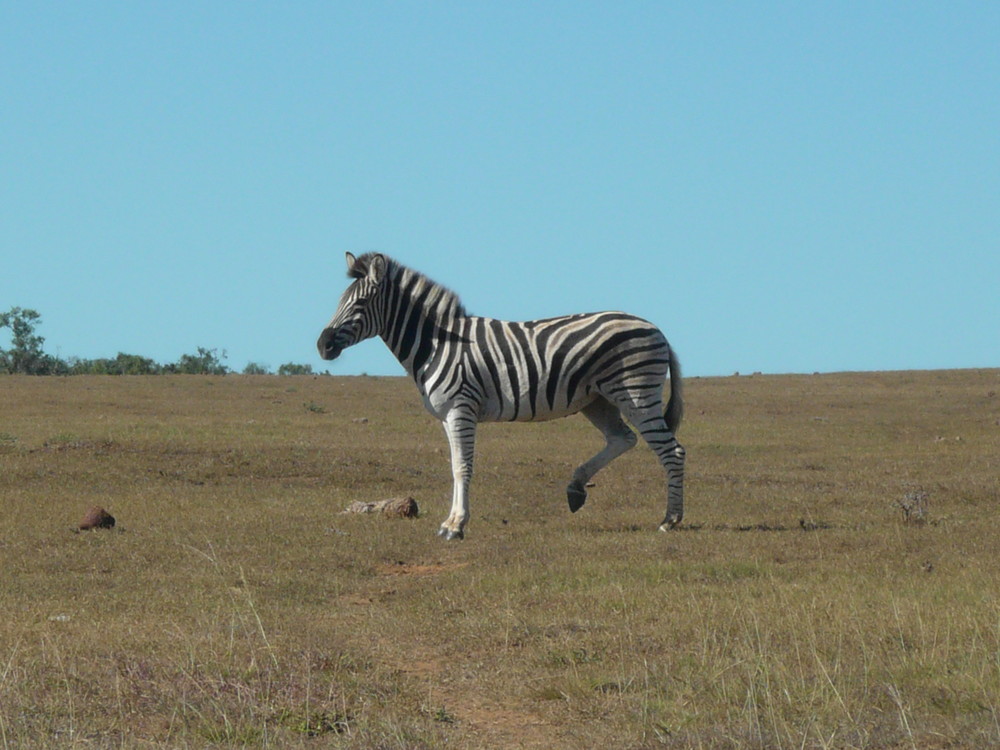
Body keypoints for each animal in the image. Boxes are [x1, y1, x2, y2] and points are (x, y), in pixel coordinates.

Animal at [316, 254, 684, 540]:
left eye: (360, 303)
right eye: (339, 302)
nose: (323, 345)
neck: (436, 344)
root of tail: (657, 329)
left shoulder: (461, 408)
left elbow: (462, 467)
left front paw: (456, 526)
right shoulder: (448, 415)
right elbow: (453, 465)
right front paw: (450, 522)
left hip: (635, 393)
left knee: (671, 450)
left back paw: (671, 520)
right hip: (597, 400)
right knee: (622, 439)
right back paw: (576, 489)